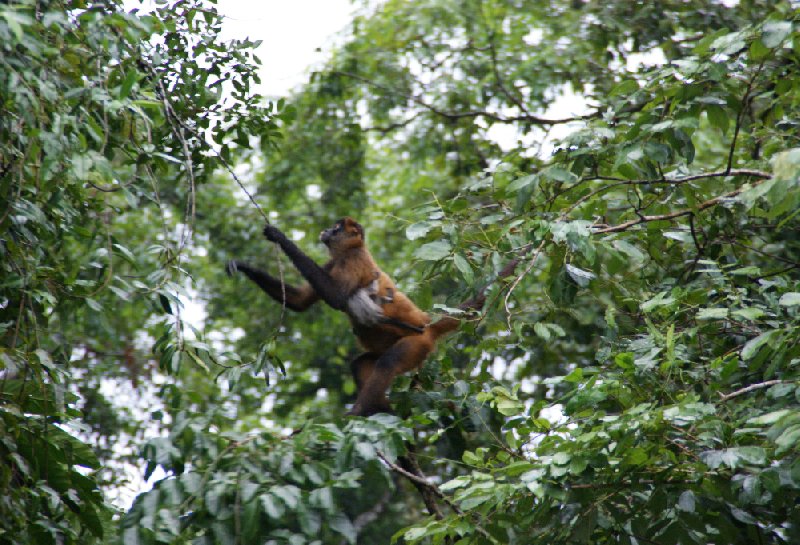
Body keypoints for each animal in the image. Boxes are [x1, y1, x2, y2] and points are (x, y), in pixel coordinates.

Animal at [228, 215, 460, 414]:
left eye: (336, 228)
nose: (326, 230)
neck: (351, 250)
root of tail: (428, 323)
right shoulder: (332, 264)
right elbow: (300, 301)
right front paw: (243, 266)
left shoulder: (354, 259)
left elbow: (337, 298)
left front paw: (278, 236)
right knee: (360, 364)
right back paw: (381, 411)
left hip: (417, 342)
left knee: (388, 362)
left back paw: (360, 411)